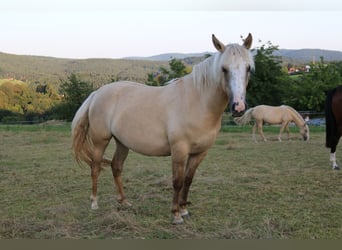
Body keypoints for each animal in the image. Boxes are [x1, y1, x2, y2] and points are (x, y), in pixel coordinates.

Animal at [71, 33, 255, 225]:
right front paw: (176, 214)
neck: (197, 102)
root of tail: (97, 93)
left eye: (248, 68)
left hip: (122, 142)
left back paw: (124, 201)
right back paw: (94, 203)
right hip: (101, 141)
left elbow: (188, 180)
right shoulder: (179, 150)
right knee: (95, 167)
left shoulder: (199, 153)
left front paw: (184, 210)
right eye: (224, 69)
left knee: (116, 167)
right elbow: (177, 181)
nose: (238, 107)